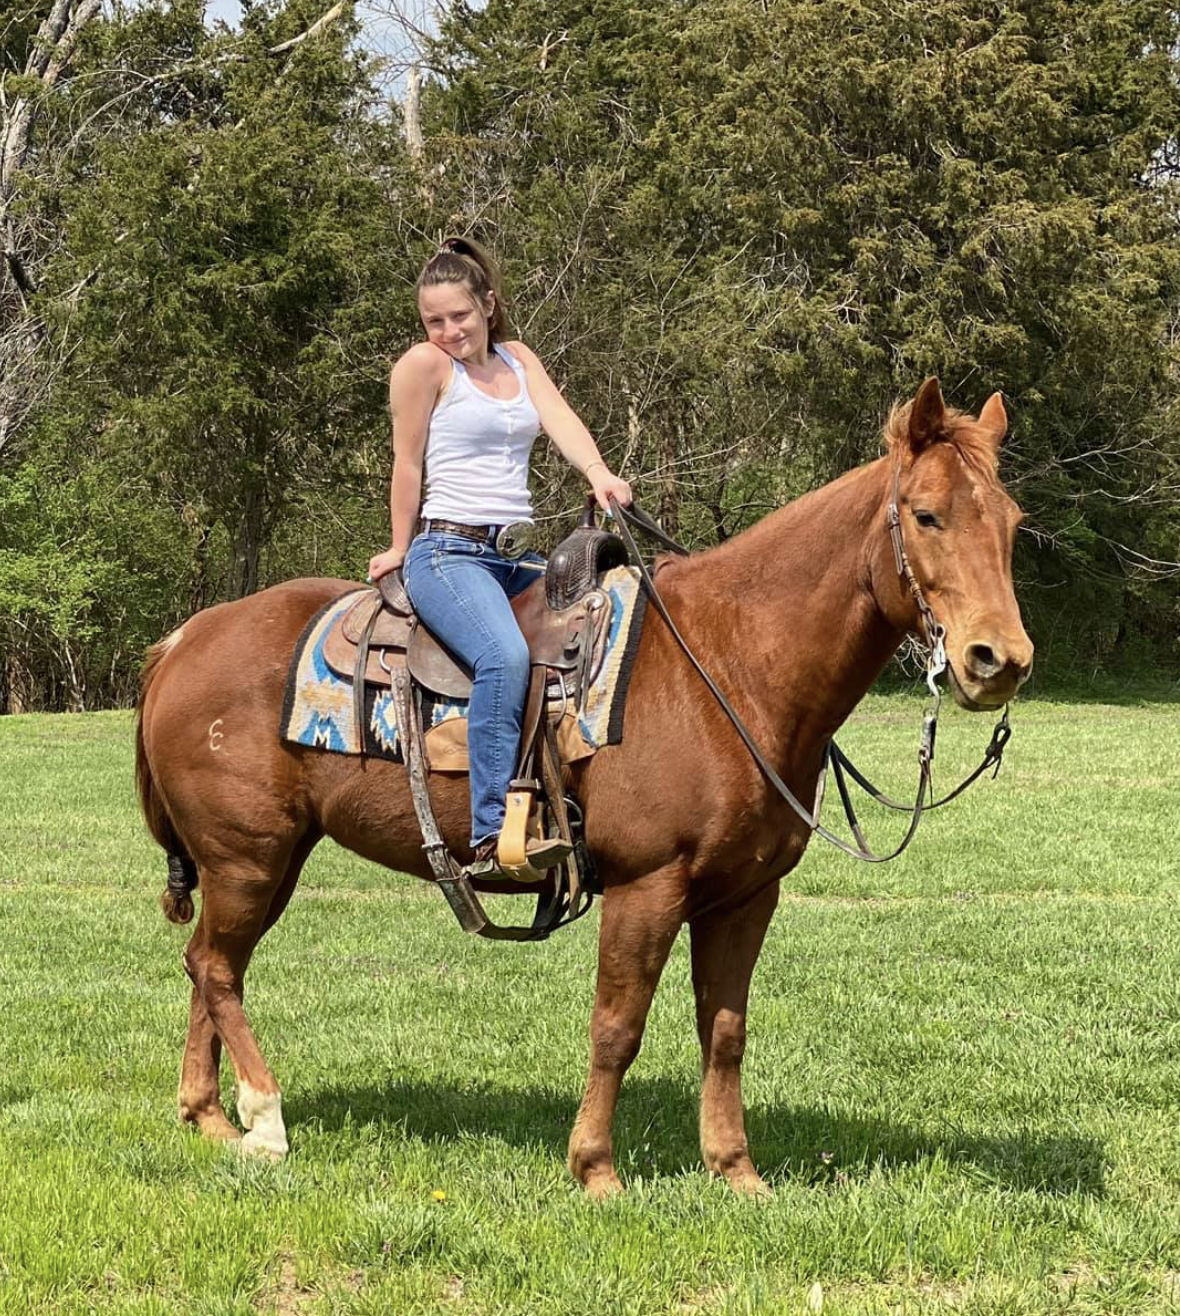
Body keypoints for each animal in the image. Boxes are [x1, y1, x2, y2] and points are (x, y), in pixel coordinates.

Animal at [135, 378, 1033, 1197]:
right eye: (927, 515)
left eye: (1012, 523)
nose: (999, 659)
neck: (729, 663)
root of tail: (185, 639)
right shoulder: (648, 884)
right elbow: (618, 1026)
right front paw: (596, 1167)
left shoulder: (746, 896)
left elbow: (725, 1029)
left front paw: (735, 1171)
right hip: (248, 857)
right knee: (217, 967)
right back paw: (264, 1117)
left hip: (267, 861)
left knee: (210, 964)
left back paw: (210, 1116)